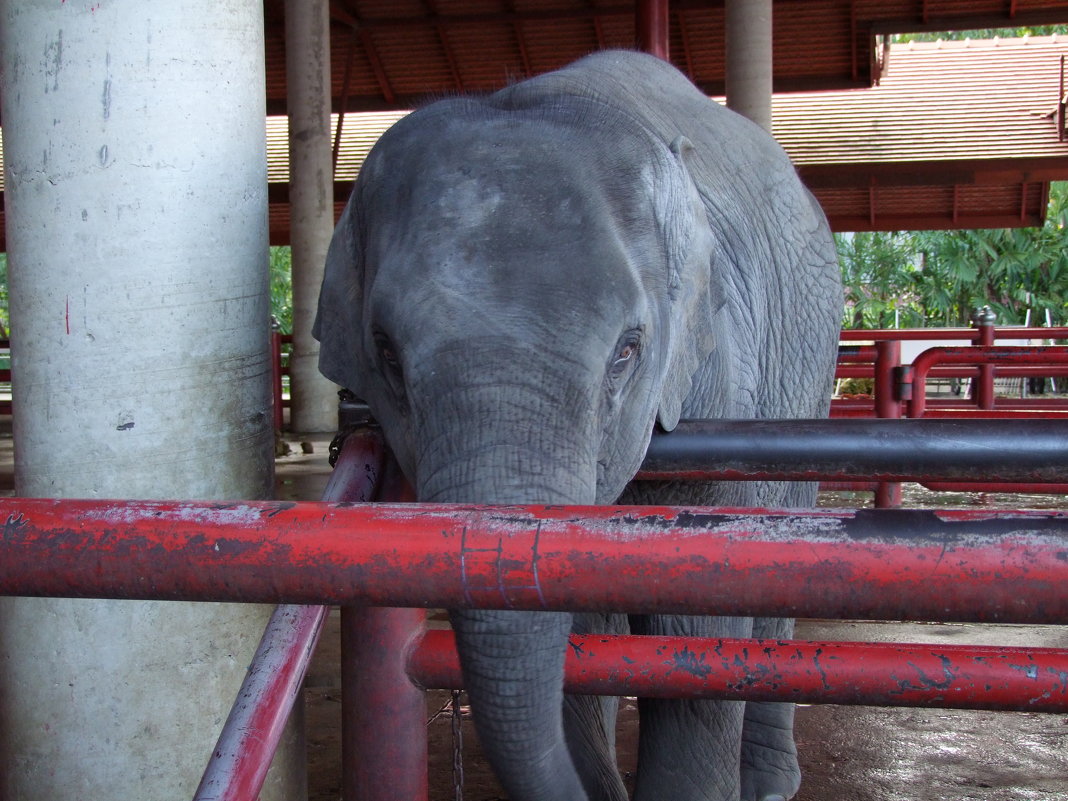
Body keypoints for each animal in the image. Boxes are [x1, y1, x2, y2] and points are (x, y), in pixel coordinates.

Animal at [313, 50, 841, 801]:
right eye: (385, 351)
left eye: (627, 350)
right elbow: (580, 629)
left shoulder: (719, 368)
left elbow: (700, 621)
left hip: (811, 355)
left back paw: (768, 782)